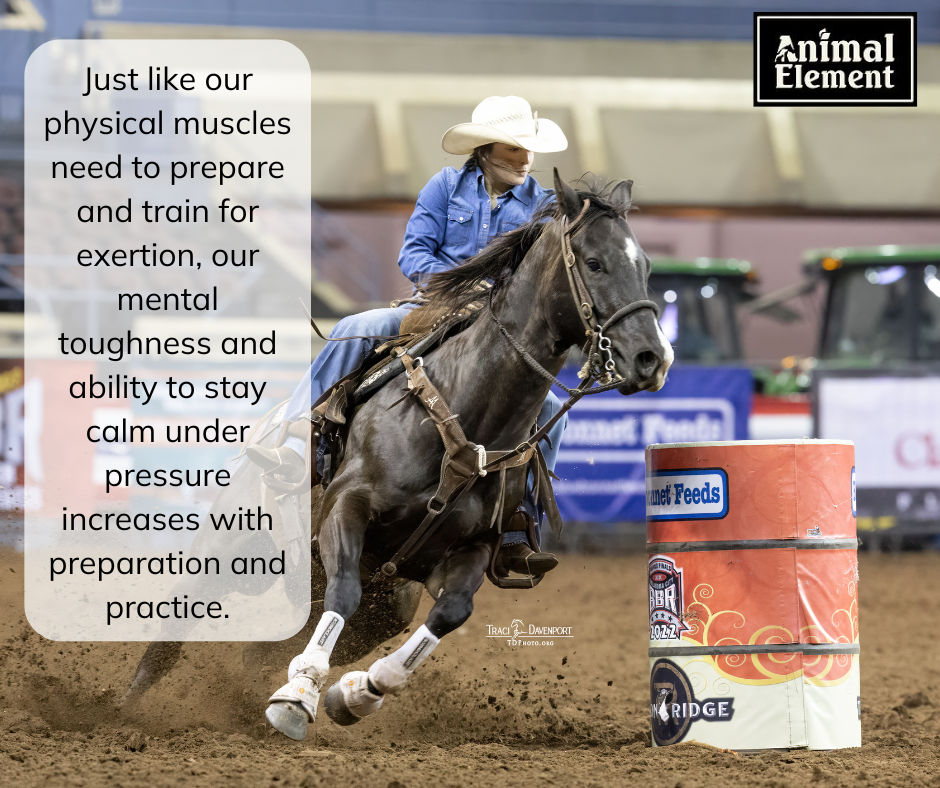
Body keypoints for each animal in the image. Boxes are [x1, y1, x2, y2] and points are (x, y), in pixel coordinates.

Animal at [121, 171, 672, 740]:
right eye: (594, 262)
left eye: (646, 268)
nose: (652, 358)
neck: (462, 418)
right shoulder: (346, 509)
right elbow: (344, 592)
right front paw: (297, 699)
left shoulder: (470, 549)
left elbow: (450, 613)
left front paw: (356, 694)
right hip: (234, 549)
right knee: (178, 625)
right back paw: (125, 705)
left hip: (382, 603)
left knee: (269, 648)